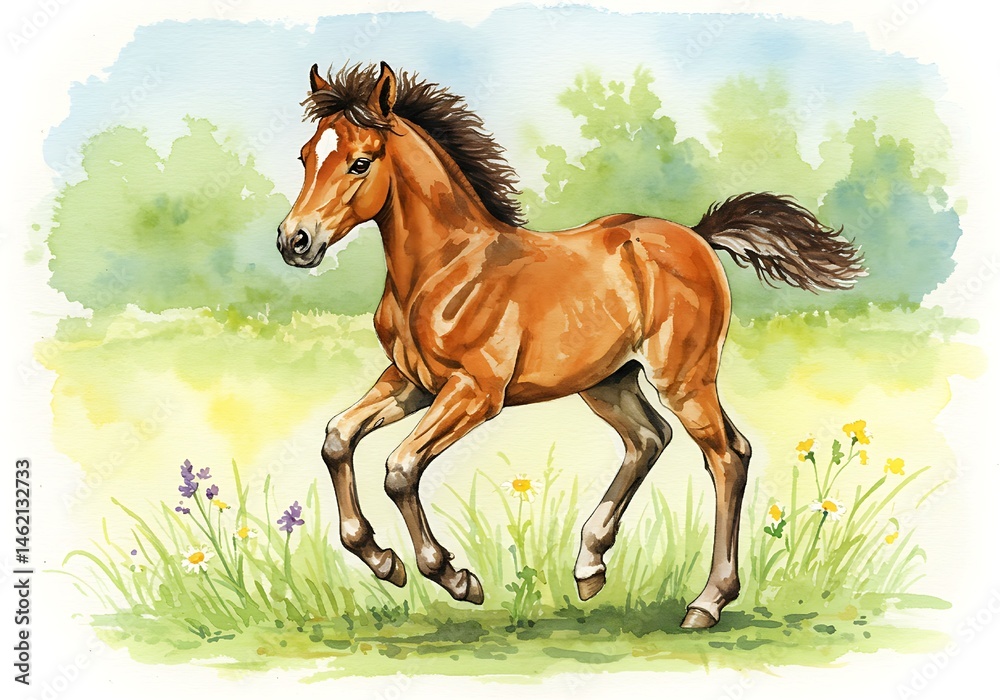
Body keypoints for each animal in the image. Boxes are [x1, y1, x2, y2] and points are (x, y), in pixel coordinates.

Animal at [276, 62, 864, 628]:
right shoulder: (412, 382)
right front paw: (381, 559)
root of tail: (697, 236)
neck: (446, 268)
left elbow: (400, 470)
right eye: (305, 156)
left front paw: (452, 576)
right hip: (607, 381)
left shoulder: (475, 392)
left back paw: (707, 602)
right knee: (649, 438)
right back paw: (590, 565)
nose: (294, 241)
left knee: (727, 455)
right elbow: (337, 439)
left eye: (360, 163)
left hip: (684, 379)